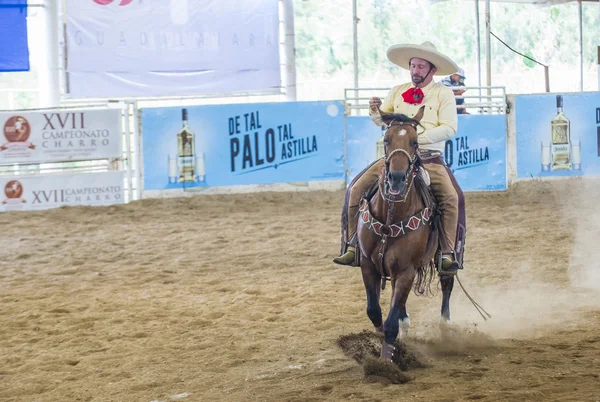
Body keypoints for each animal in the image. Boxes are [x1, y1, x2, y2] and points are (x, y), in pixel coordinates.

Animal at [356, 107, 454, 362]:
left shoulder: (406, 270)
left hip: (448, 254)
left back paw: (445, 326)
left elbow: (390, 323)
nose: (397, 178)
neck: (391, 215)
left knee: (447, 283)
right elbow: (374, 311)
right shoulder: (368, 264)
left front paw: (385, 362)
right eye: (386, 140)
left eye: (415, 142)